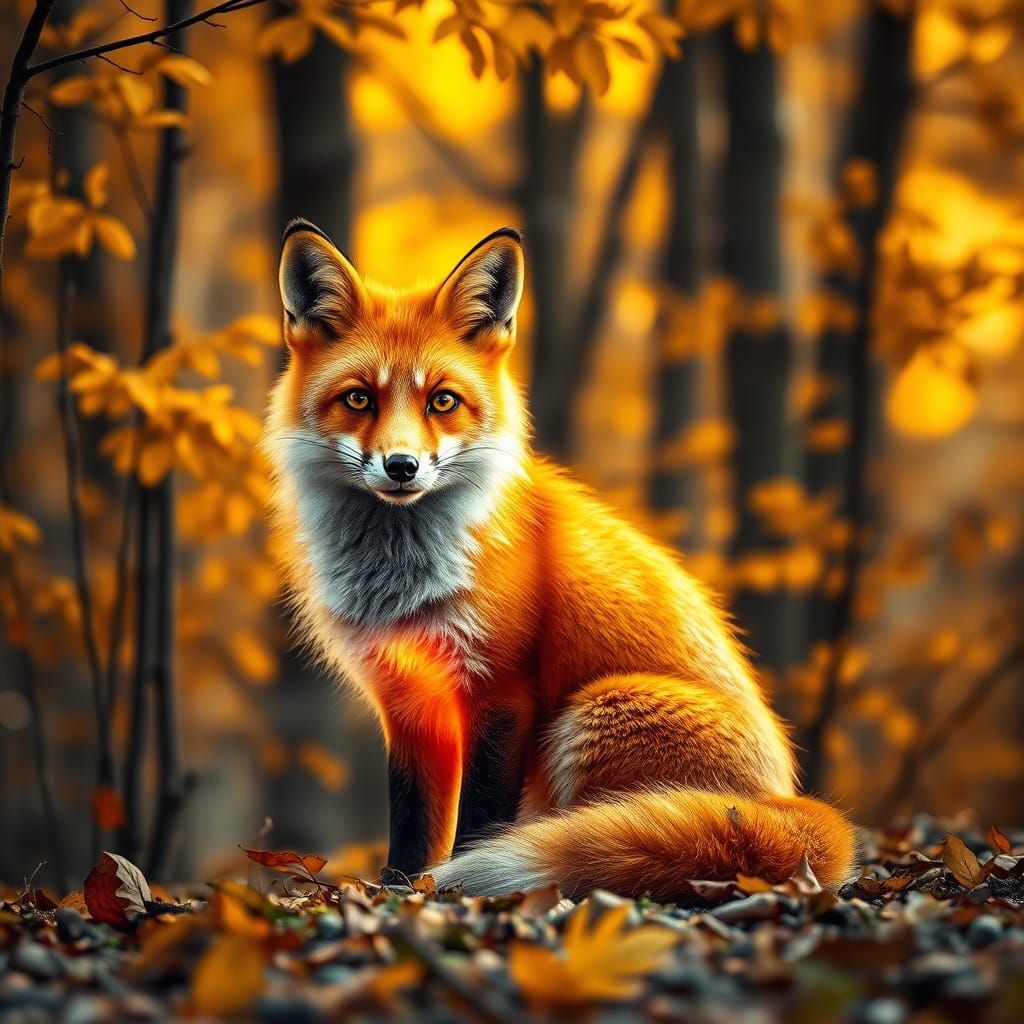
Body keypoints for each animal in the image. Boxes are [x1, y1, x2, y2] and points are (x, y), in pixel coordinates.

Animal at [263, 220, 857, 900]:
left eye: (443, 401)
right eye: (359, 399)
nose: (402, 466)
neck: (401, 578)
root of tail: (789, 800)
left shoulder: (501, 691)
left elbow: (478, 822)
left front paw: (446, 888)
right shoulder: (409, 701)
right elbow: (411, 826)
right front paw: (398, 892)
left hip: (592, 712)